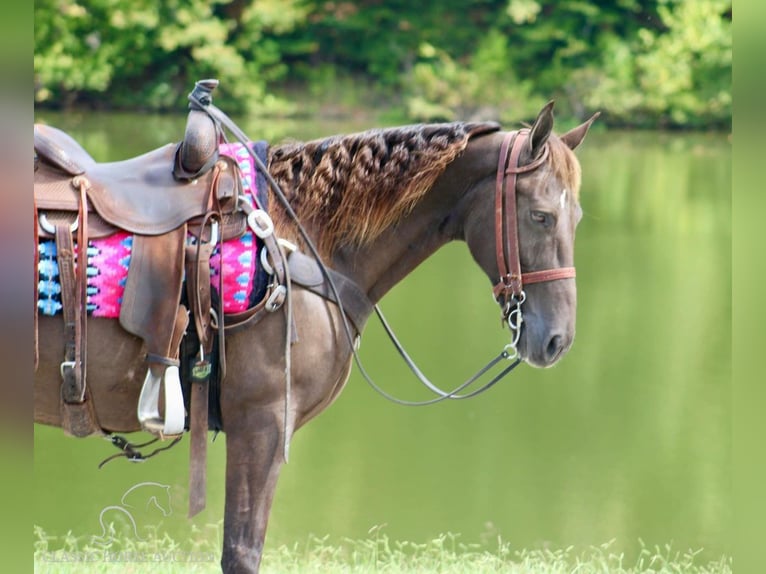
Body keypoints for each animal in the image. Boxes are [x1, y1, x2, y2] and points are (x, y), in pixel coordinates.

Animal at [34, 101, 600, 572]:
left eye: (576, 217)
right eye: (541, 215)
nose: (557, 340)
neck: (301, 241)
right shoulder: (261, 424)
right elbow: (242, 553)